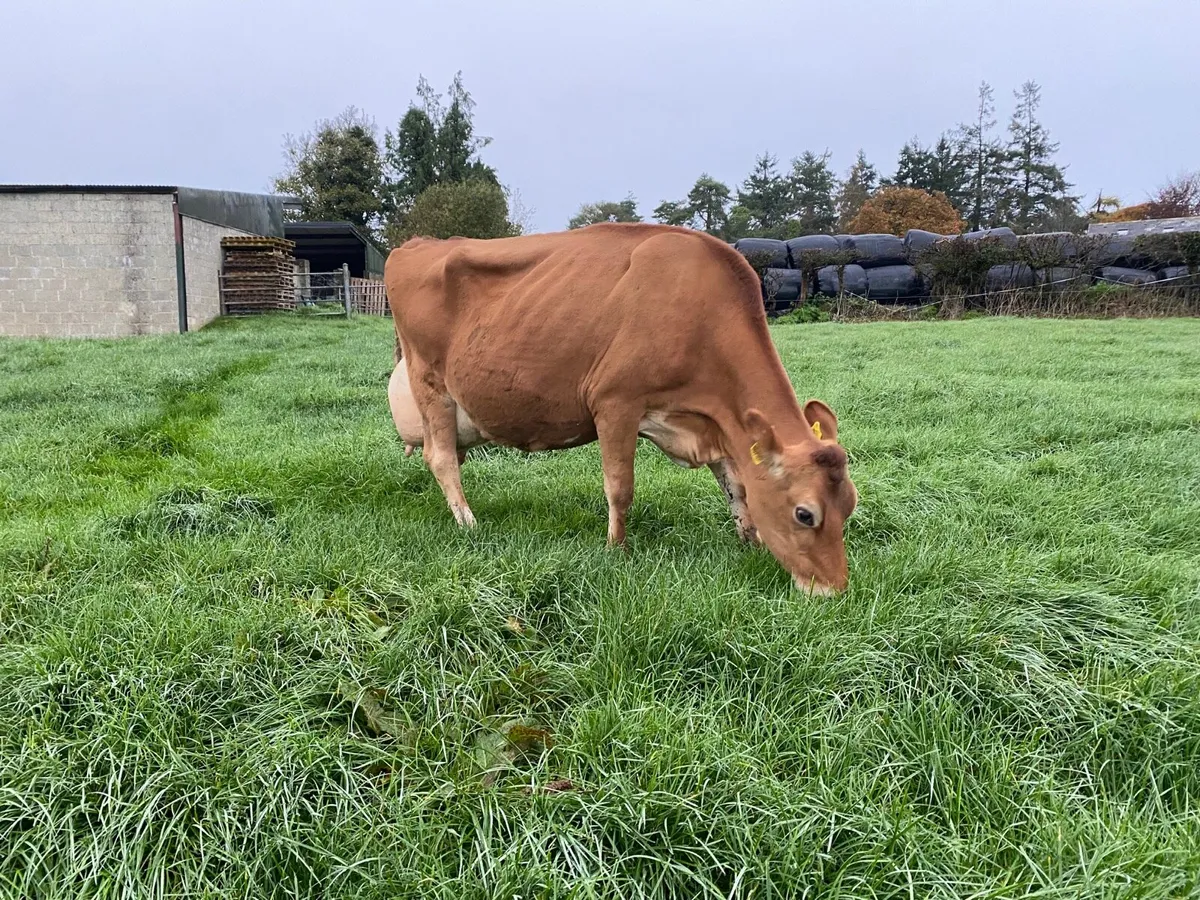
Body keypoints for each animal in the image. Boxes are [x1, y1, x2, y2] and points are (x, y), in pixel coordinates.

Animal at [384, 223, 857, 594]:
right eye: (805, 514)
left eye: (850, 505)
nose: (833, 591)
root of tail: (419, 243)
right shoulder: (615, 403)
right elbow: (620, 487)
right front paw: (616, 550)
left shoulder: (717, 423)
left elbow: (737, 488)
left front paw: (750, 541)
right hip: (432, 385)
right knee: (441, 458)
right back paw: (468, 523)